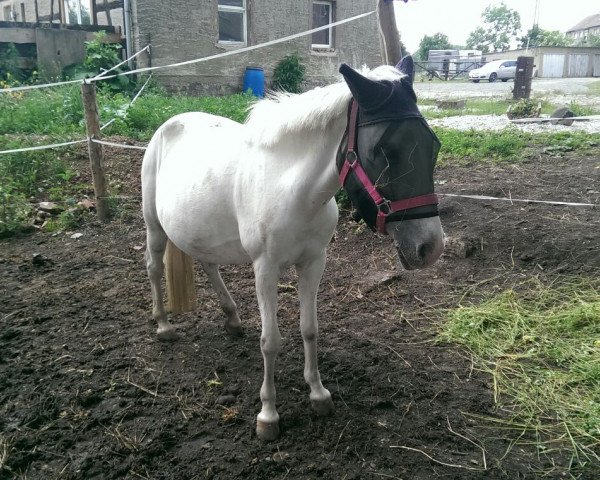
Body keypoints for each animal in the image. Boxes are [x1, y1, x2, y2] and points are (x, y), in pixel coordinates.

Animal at [139, 58, 440, 440]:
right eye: (382, 151)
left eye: (433, 145)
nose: (431, 247)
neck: (293, 191)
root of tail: (170, 124)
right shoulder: (265, 268)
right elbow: (271, 341)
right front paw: (268, 415)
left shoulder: (313, 262)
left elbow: (309, 329)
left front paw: (318, 394)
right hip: (154, 225)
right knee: (153, 266)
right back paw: (163, 325)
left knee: (209, 264)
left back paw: (232, 318)